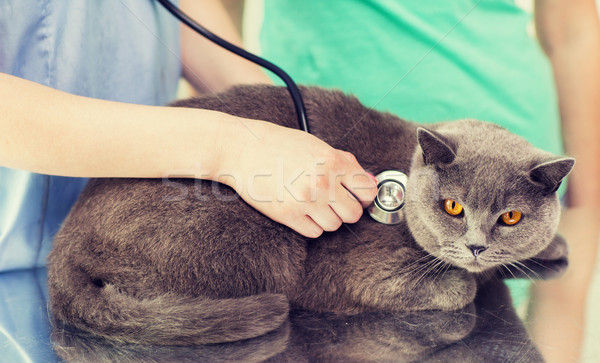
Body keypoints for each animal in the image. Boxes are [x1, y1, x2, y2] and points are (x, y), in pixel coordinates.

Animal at [47, 85, 572, 346]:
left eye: (510, 217)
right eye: (454, 207)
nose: (476, 245)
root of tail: (63, 242)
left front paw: (552, 246)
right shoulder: (358, 269)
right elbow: (460, 289)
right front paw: (471, 278)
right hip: (260, 240)